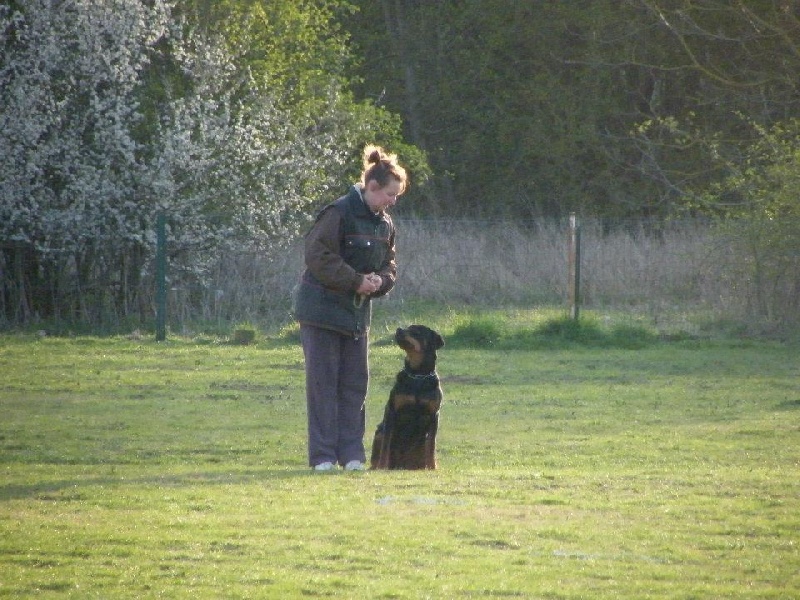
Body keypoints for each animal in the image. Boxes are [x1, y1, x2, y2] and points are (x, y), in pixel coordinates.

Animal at [368, 324, 444, 468]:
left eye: (416, 331)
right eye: (408, 327)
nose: (399, 329)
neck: (418, 375)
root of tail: (402, 465)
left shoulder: (434, 415)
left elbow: (432, 445)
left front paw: (432, 467)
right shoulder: (391, 411)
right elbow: (386, 444)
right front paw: (382, 466)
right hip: (379, 432)